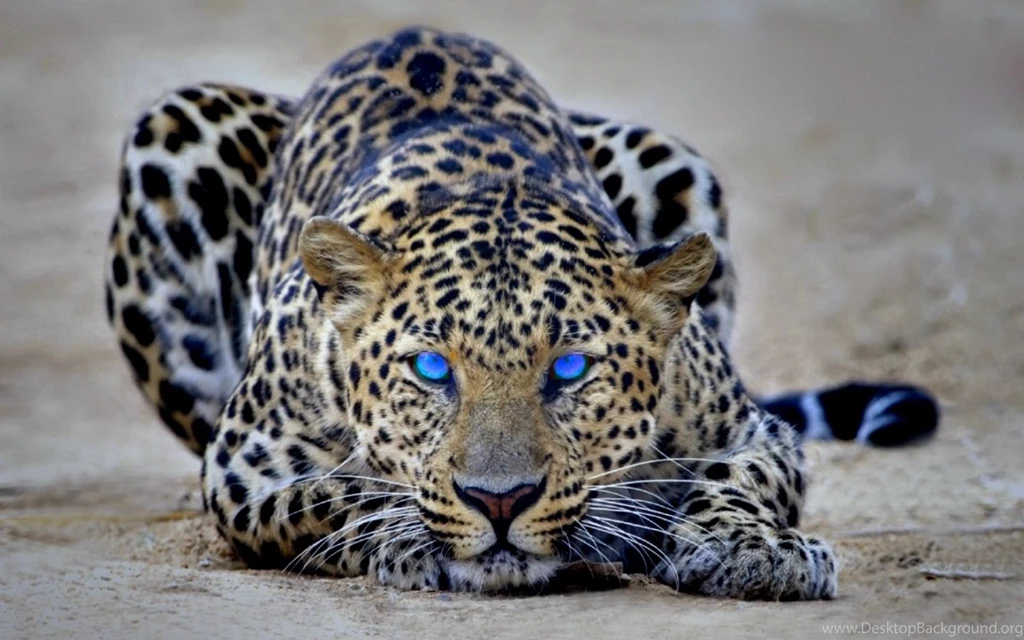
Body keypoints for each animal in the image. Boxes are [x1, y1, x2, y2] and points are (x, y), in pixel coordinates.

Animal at [104, 26, 939, 598]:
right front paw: (409, 535)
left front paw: (755, 550)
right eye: (431, 368)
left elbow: (740, 476)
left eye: (568, 369)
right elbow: (340, 491)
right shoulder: (243, 465)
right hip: (172, 132)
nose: (499, 501)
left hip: (668, 155)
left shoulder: (749, 428)